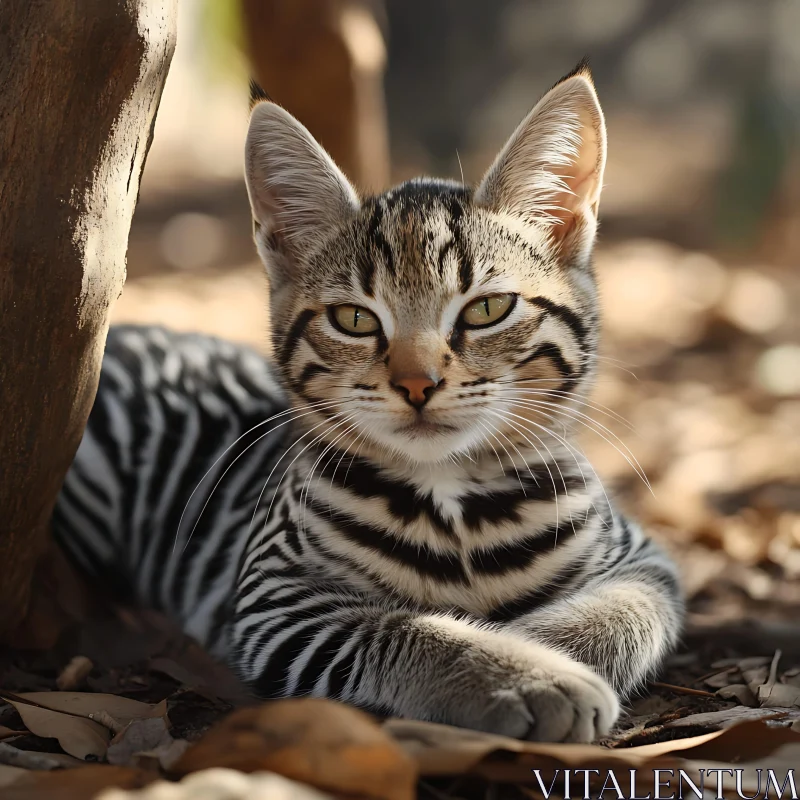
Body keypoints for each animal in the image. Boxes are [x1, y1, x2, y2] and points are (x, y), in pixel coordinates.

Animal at [54, 64, 680, 744]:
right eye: (354, 320)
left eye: (487, 309)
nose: (417, 384)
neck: (455, 505)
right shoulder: (276, 598)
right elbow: (411, 634)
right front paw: (526, 672)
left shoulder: (646, 563)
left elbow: (617, 613)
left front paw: (539, 643)